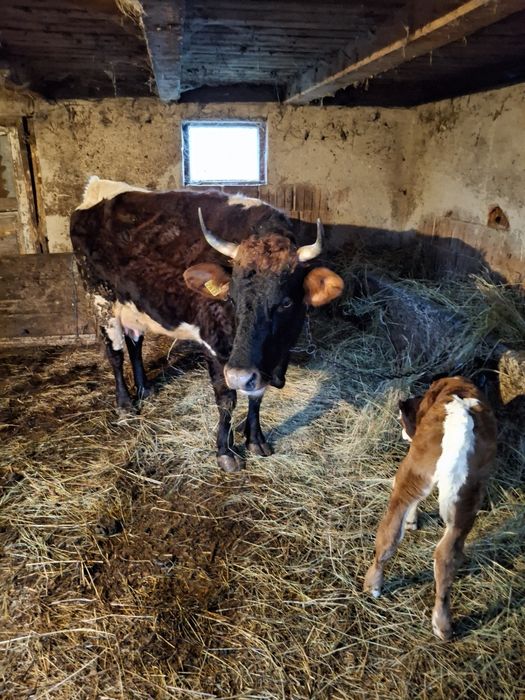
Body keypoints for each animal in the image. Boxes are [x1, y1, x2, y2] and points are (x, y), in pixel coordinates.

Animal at [70, 177, 344, 472]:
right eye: (231, 299)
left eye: (285, 303)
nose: (240, 374)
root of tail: (98, 187)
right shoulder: (216, 344)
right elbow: (226, 399)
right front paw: (225, 451)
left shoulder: (261, 363)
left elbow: (257, 395)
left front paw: (255, 440)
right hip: (99, 299)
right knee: (115, 353)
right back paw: (124, 403)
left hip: (134, 306)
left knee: (135, 344)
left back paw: (145, 389)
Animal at [364, 376, 497, 640]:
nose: (403, 433)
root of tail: (460, 424)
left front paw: (412, 522)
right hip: (463, 505)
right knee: (446, 558)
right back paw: (443, 626)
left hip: (408, 475)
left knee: (388, 535)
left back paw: (371, 585)